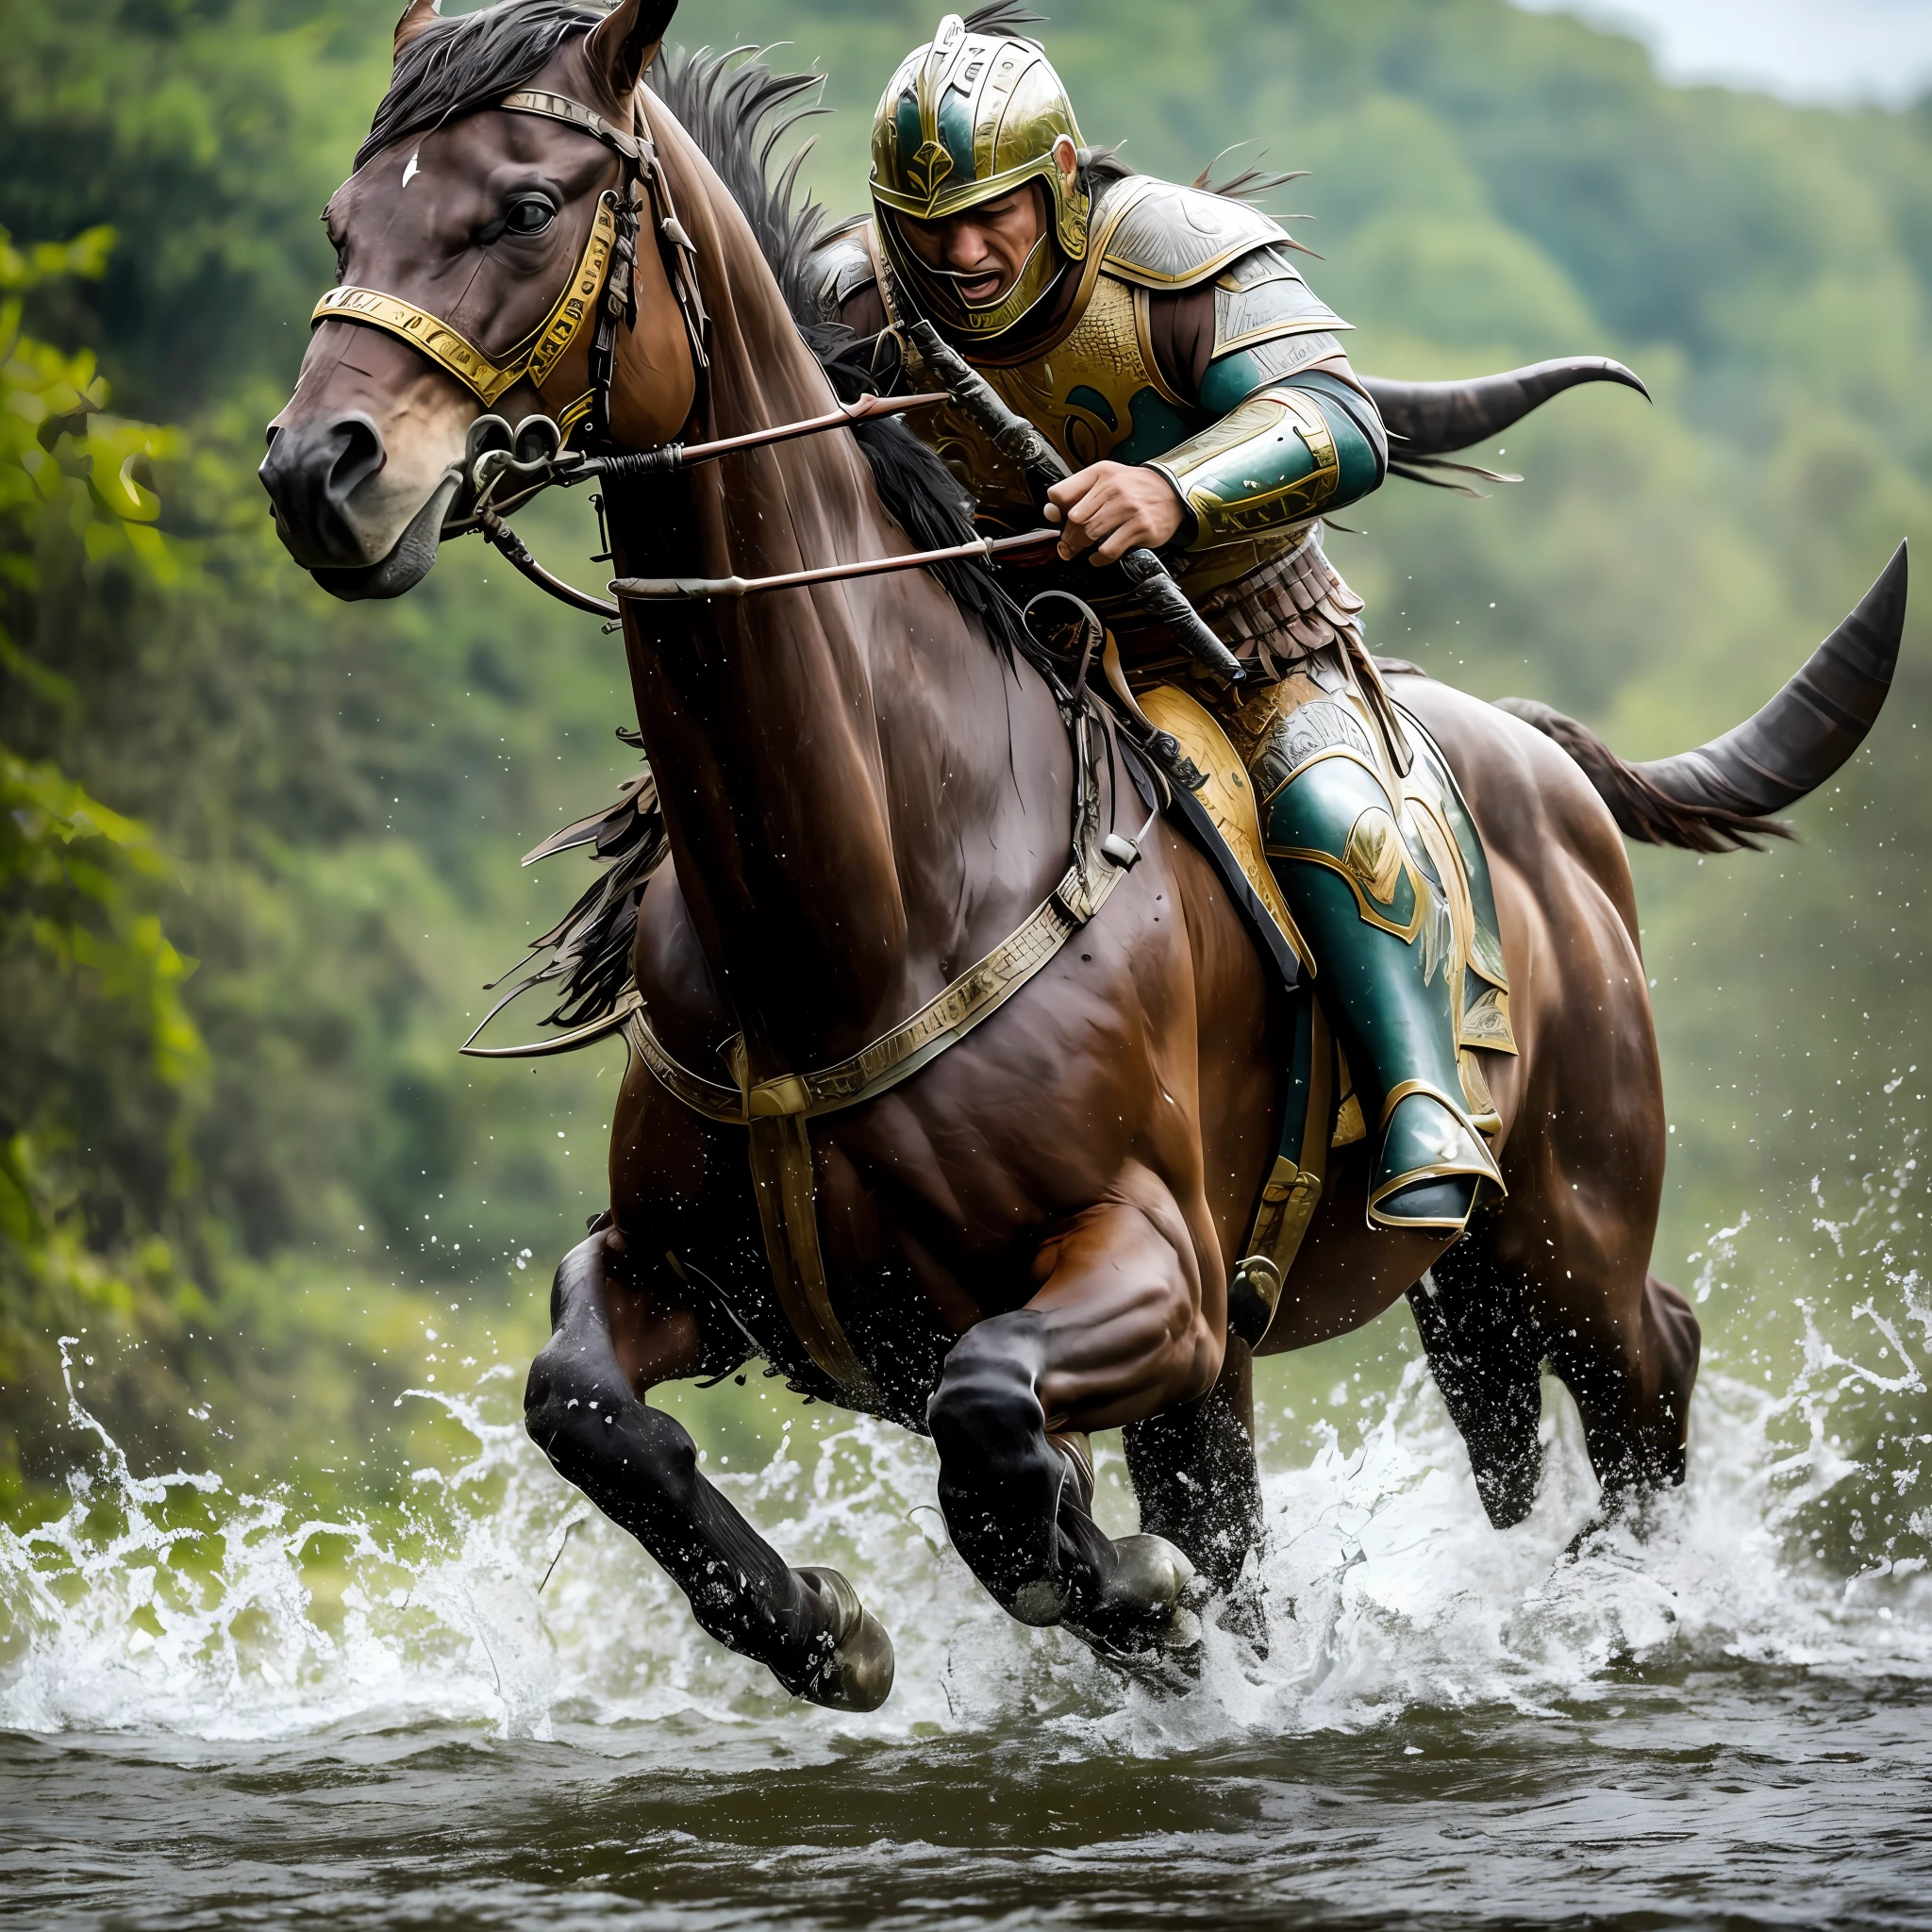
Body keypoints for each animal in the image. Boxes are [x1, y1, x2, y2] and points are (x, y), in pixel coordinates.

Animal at [257, 0, 1901, 1707]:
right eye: (344, 221)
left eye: (525, 206)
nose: (321, 470)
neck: (860, 905)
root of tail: (1545, 763)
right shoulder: (679, 1272)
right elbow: (579, 1399)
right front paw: (825, 1623)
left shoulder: (1154, 1280)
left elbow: (990, 1414)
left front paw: (1106, 1583)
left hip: (1567, 1229)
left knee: (1648, 1363)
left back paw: (1621, 1609)